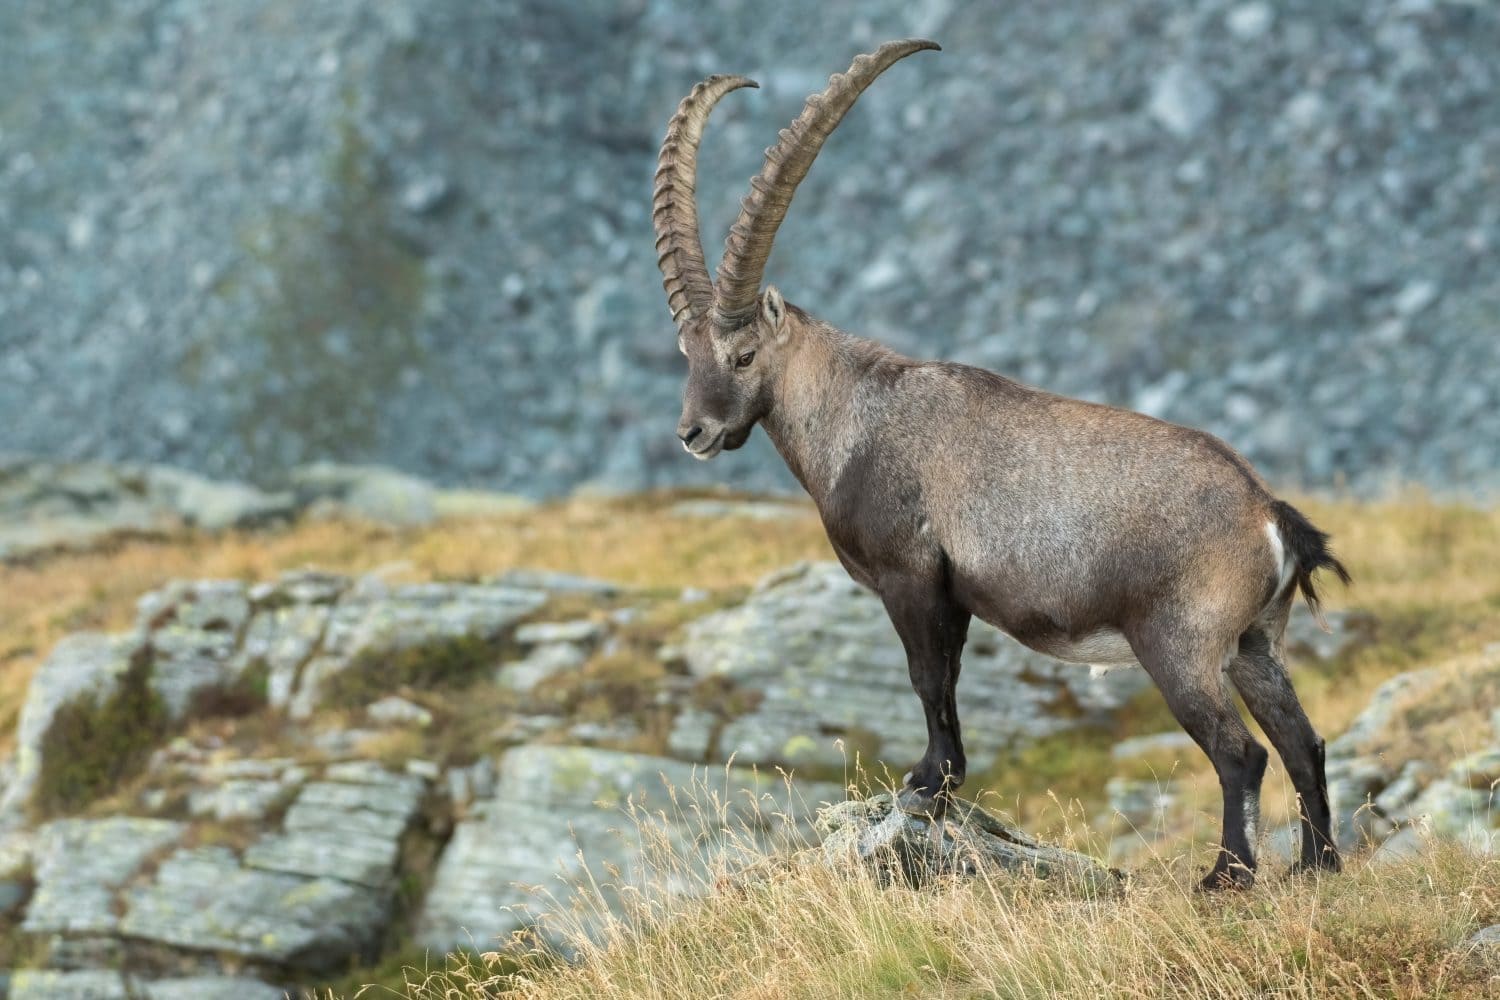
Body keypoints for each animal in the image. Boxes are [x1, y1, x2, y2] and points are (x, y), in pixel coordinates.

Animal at [652, 39, 1350, 888]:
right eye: (686, 353)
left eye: (744, 354)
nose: (693, 432)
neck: (858, 417)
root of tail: (1267, 513)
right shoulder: (951, 592)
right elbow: (947, 679)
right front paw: (940, 782)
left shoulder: (914, 576)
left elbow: (929, 678)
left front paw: (927, 785)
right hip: (1255, 642)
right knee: (1303, 741)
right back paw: (1316, 866)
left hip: (1180, 645)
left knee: (1241, 753)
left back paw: (1226, 877)